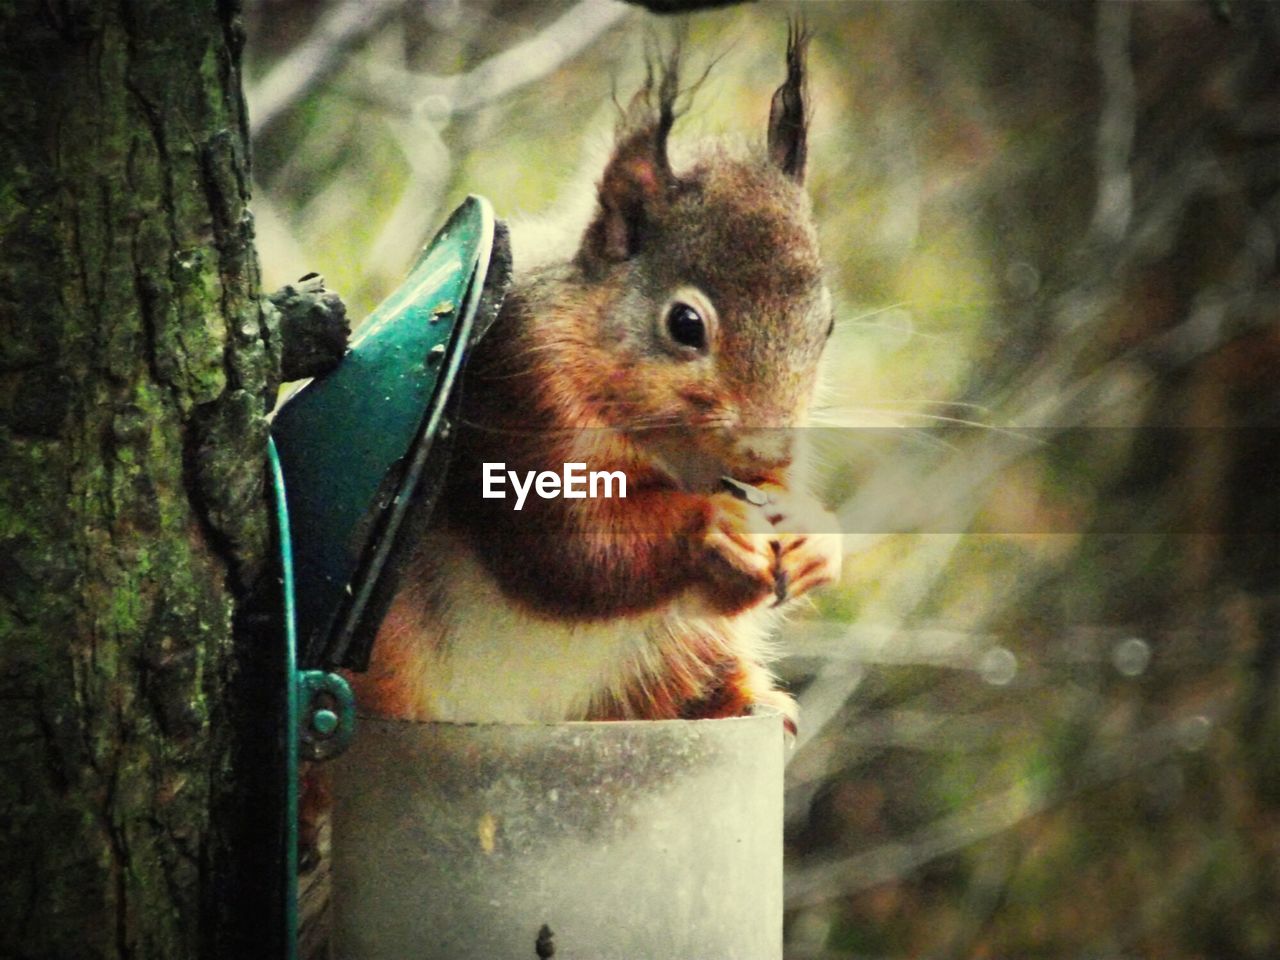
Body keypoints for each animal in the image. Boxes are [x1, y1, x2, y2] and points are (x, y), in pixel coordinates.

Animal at [348, 26, 839, 737]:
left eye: (827, 325)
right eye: (686, 324)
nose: (768, 450)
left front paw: (815, 538)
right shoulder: (526, 391)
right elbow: (574, 553)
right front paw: (715, 523)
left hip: (673, 653)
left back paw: (749, 701)